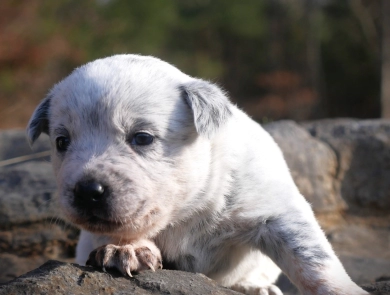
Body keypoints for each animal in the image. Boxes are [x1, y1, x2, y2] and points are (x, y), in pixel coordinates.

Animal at [27, 54, 366, 294]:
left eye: (142, 138)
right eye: (61, 142)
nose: (88, 191)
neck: (187, 210)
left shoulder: (276, 210)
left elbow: (313, 261)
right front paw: (128, 248)